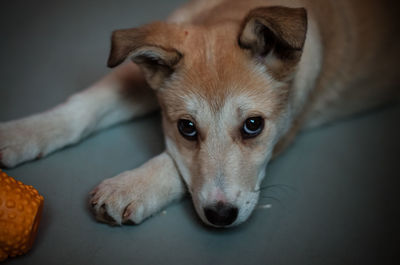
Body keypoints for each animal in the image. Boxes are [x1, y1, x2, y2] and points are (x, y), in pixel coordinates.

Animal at [0, 0, 398, 227]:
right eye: (187, 128)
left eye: (253, 125)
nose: (221, 217)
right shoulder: (140, 75)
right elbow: (86, 106)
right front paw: (23, 133)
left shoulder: (287, 129)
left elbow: (168, 162)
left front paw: (131, 187)